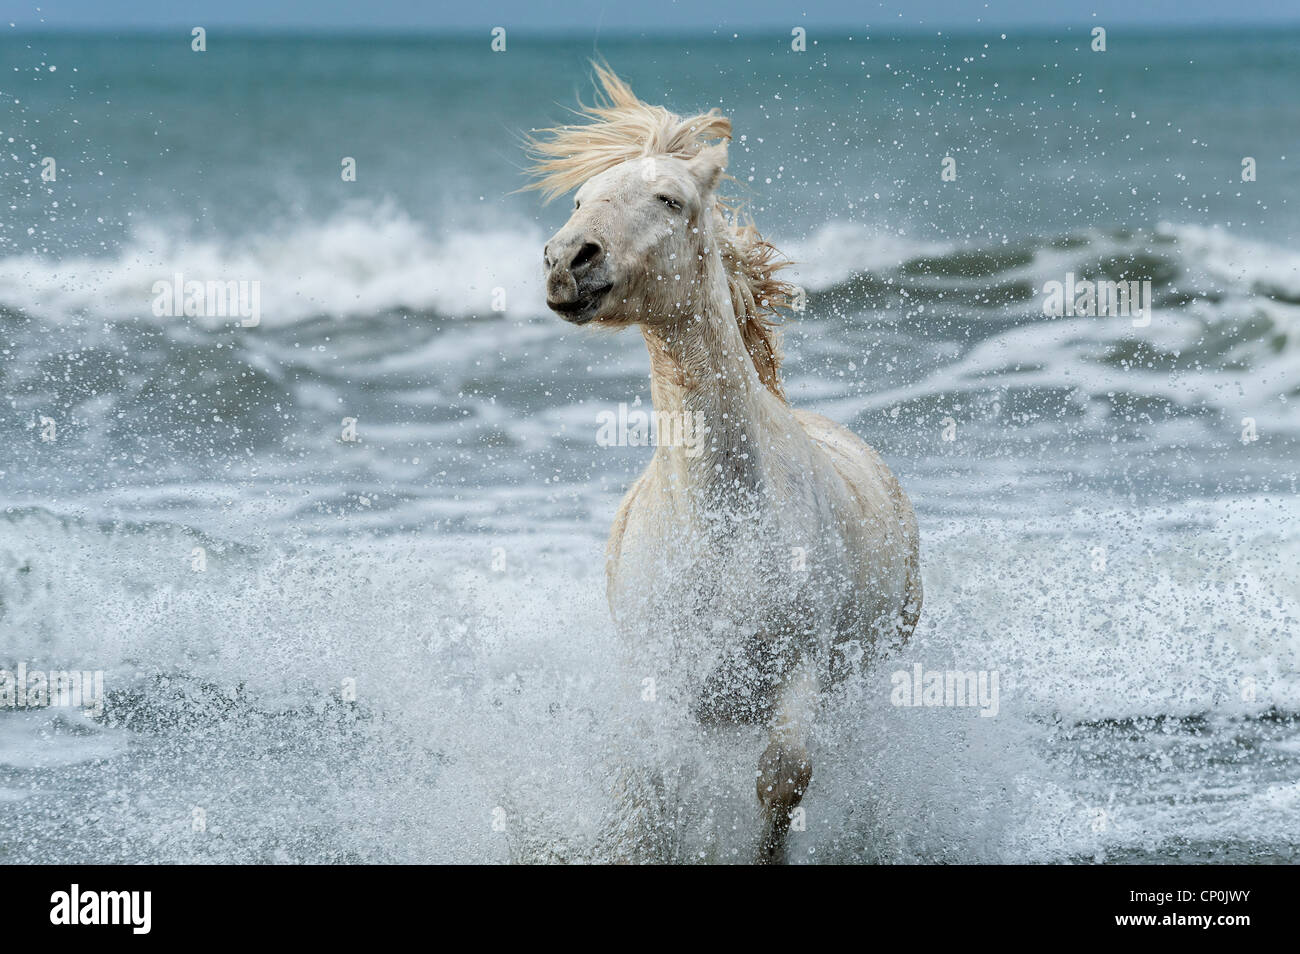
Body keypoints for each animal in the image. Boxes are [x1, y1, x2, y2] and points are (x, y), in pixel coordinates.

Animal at [527, 65, 922, 863]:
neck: (721, 521)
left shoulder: (798, 667)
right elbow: (657, 792)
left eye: (670, 199)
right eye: (580, 199)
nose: (568, 261)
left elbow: (784, 780)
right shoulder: (665, 679)